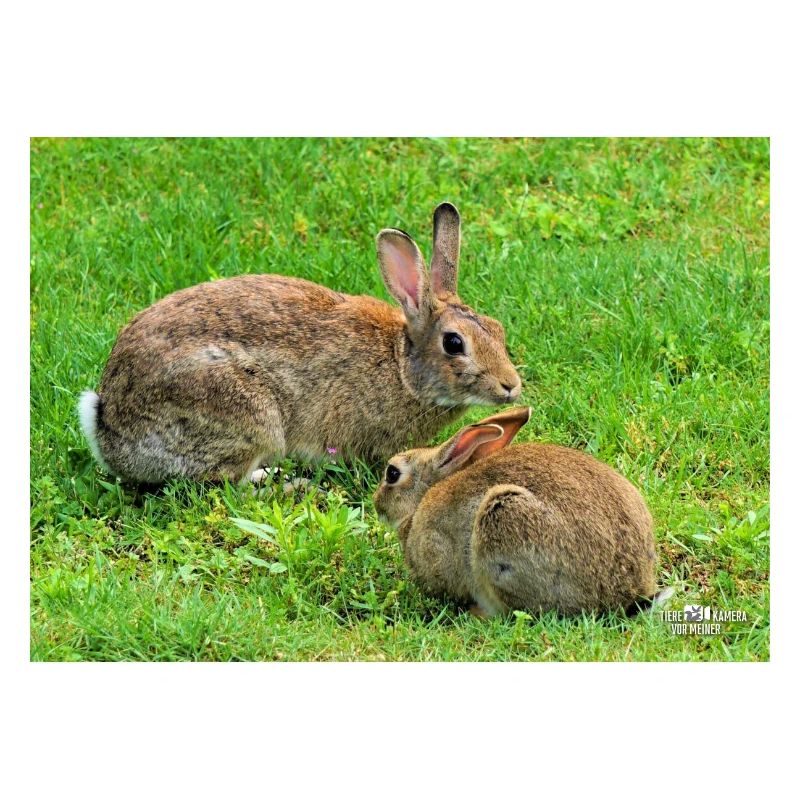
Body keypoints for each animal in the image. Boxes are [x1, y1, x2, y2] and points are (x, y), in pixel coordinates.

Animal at [78, 203, 522, 484]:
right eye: (453, 343)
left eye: (497, 329)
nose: (511, 386)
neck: (401, 368)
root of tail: (107, 425)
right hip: (246, 414)